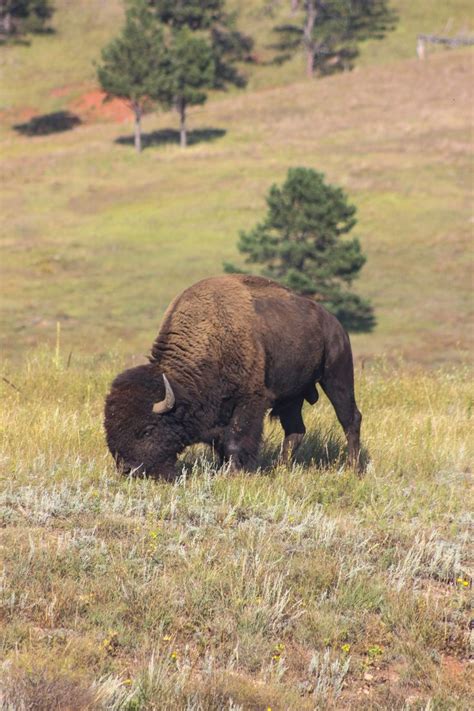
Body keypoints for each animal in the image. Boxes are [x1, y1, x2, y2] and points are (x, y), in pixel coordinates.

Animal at [104, 276, 362, 482]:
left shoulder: (250, 401)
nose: (128, 470)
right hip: (292, 397)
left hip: (337, 377)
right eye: (111, 430)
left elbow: (236, 438)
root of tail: (335, 324)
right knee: (295, 431)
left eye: (147, 430)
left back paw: (353, 469)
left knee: (350, 419)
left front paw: (233, 472)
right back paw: (280, 468)